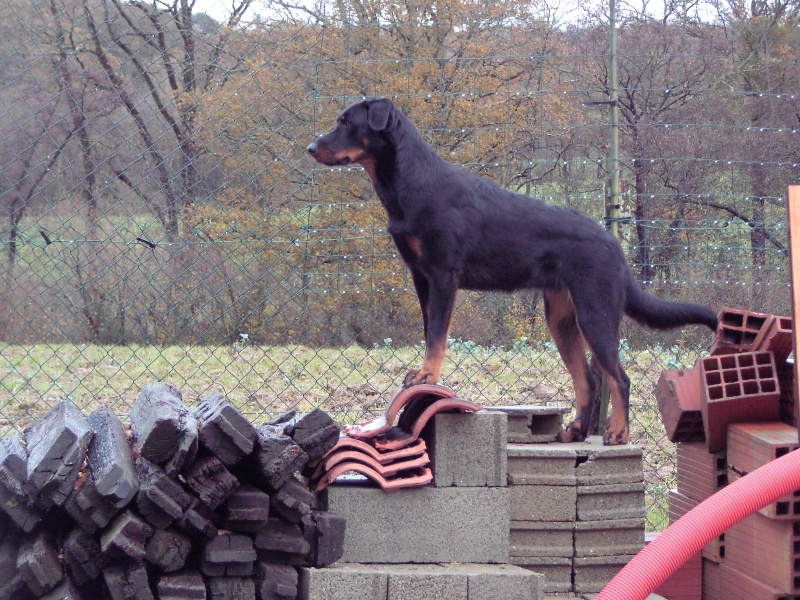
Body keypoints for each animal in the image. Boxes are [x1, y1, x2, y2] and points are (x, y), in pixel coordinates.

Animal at [308, 97, 720, 446]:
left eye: (347, 122)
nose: (311, 148)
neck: (409, 181)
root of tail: (615, 247)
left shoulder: (443, 275)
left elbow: (437, 335)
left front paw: (428, 377)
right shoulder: (420, 277)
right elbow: (428, 331)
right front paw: (423, 375)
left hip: (595, 312)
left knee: (619, 377)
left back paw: (617, 432)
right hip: (561, 319)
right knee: (587, 380)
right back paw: (575, 431)